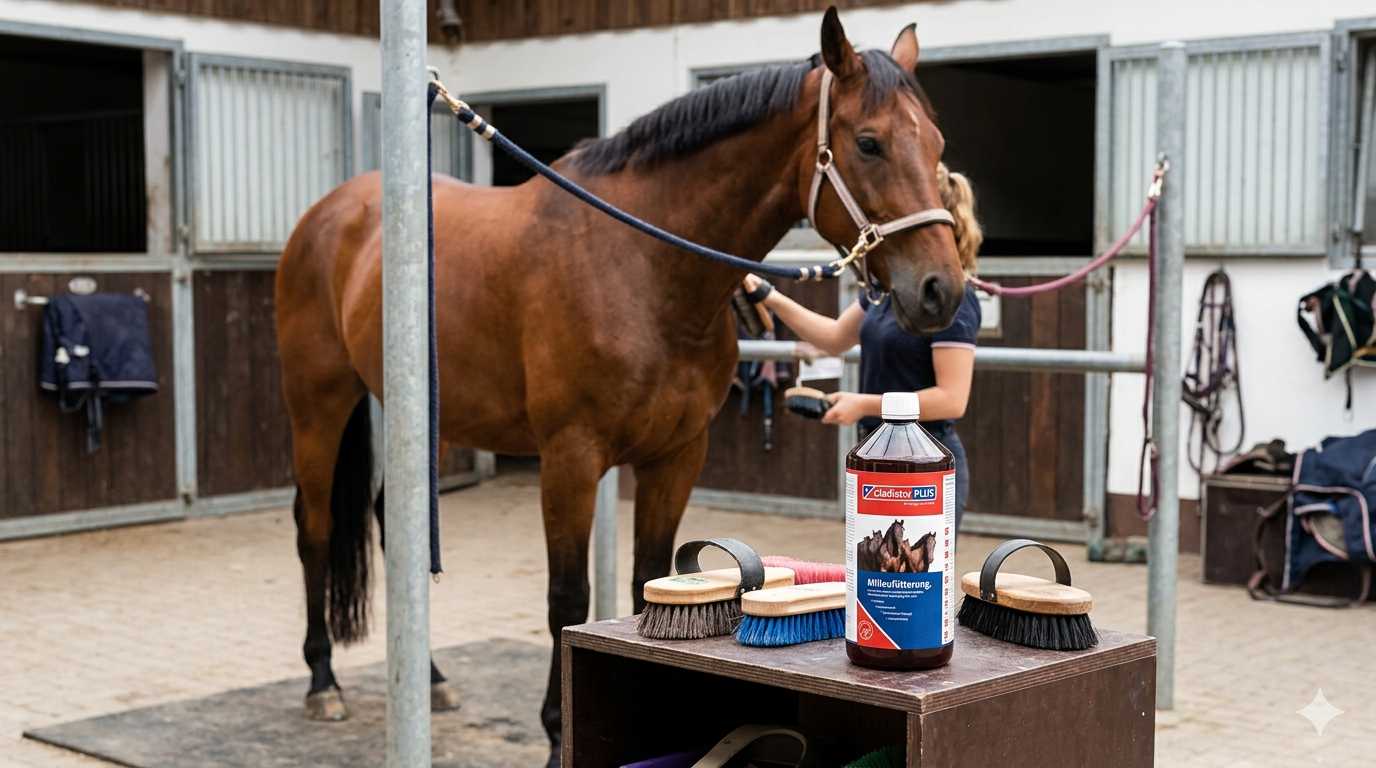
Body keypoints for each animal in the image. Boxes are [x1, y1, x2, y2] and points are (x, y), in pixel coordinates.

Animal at [273, 8, 963, 765]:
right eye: (868, 143)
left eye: (935, 144)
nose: (941, 289)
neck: (641, 267)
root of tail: (333, 212)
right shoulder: (571, 459)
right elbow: (568, 598)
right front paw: (556, 734)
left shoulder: (677, 456)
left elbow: (652, 579)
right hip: (317, 404)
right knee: (314, 527)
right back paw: (322, 680)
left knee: (390, 530)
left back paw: (426, 679)